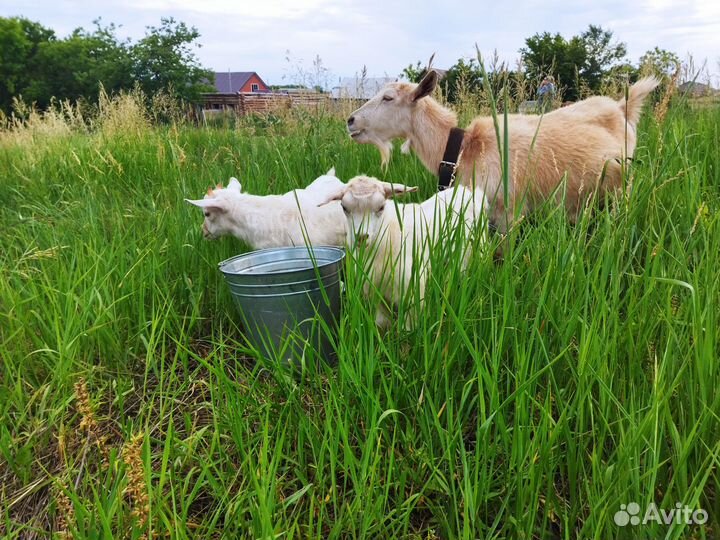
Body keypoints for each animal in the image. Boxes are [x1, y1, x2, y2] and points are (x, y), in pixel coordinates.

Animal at [319, 175, 487, 328]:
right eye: (344, 208)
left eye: (381, 207)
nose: (361, 237)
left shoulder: (412, 293)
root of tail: (467, 191)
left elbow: (408, 328)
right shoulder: (374, 294)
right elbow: (382, 322)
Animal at [347, 71, 659, 231]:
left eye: (388, 98)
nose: (350, 120)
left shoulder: (509, 210)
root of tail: (621, 107)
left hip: (624, 186)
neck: (463, 150)